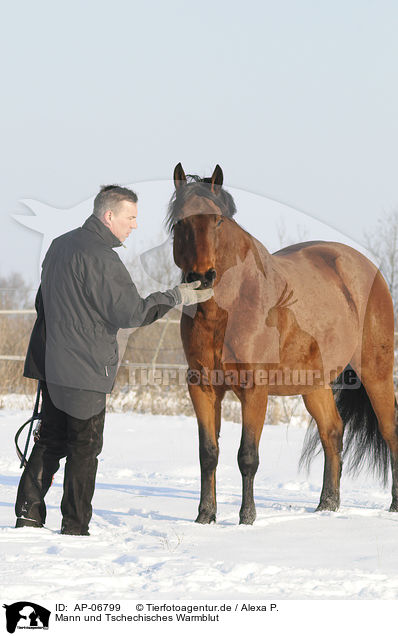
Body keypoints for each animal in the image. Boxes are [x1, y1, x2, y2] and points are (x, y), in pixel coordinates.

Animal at [166, 161, 396, 524]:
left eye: (218, 220)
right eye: (180, 222)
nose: (202, 277)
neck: (229, 309)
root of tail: (366, 268)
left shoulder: (254, 389)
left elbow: (247, 456)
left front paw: (247, 518)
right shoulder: (202, 386)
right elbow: (208, 453)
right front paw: (205, 517)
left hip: (377, 373)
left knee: (390, 432)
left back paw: (392, 505)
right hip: (314, 384)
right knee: (332, 432)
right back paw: (327, 505)